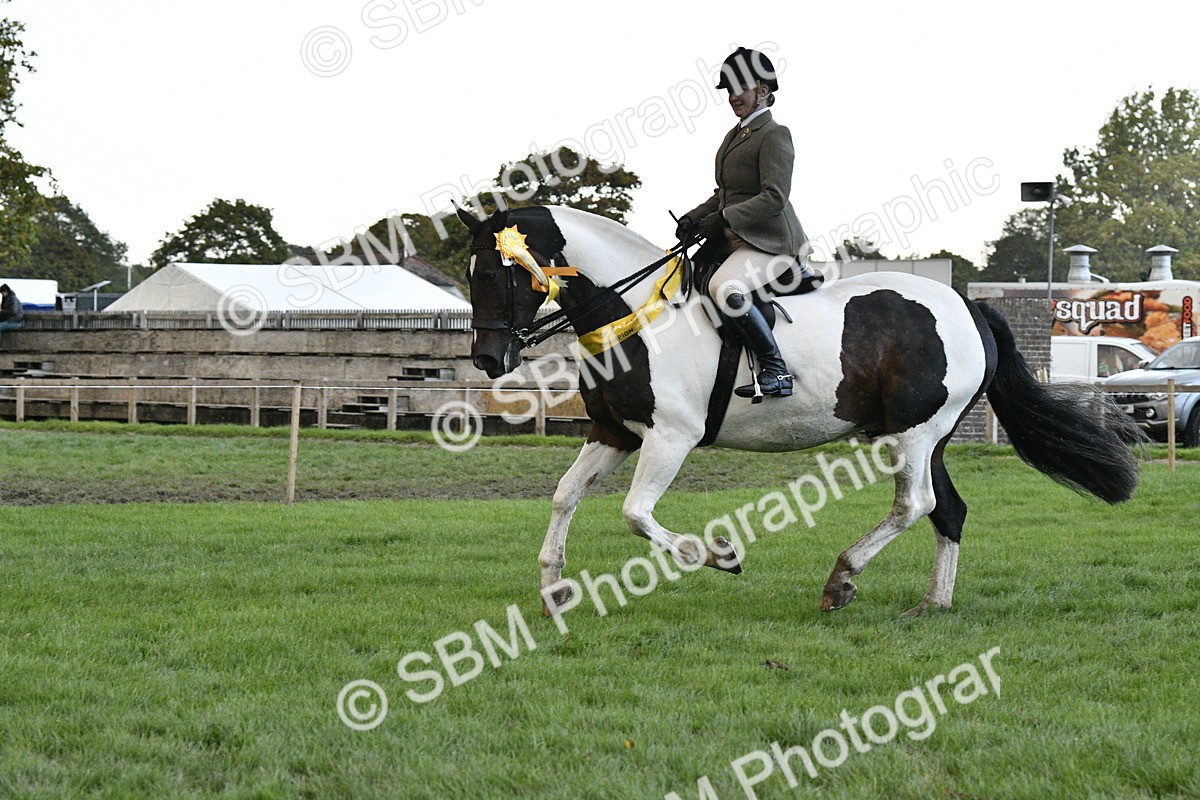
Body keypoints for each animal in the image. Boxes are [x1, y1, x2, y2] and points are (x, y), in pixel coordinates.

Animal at [457, 204, 1142, 617]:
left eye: (495, 274)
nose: (489, 358)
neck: (637, 316)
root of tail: (968, 308)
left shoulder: (670, 438)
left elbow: (635, 514)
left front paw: (718, 555)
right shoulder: (613, 432)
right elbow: (564, 496)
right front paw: (554, 589)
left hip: (913, 433)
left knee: (915, 503)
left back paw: (843, 578)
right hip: (931, 436)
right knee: (947, 509)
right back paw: (933, 604)